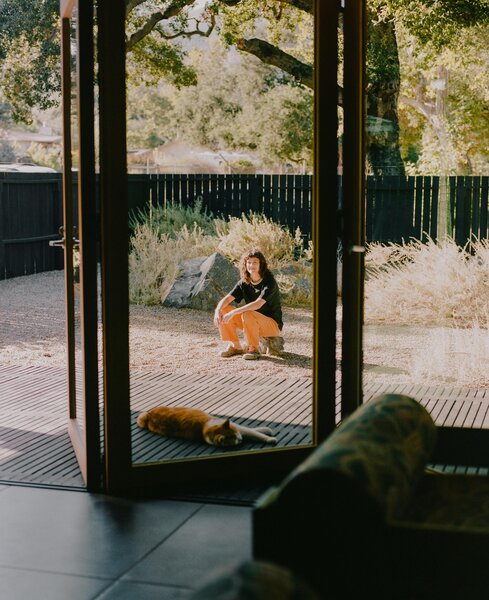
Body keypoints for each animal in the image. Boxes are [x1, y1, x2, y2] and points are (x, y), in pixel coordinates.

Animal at [135, 408, 276, 446]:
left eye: (236, 435)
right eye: (234, 439)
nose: (240, 439)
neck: (204, 430)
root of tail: (149, 415)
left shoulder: (239, 428)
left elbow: (254, 431)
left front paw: (266, 431)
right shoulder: (241, 430)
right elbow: (254, 432)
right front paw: (270, 438)